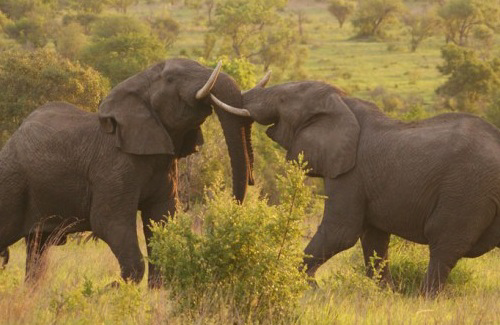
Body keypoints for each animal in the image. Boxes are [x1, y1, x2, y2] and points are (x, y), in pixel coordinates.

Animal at [0, 58, 254, 286]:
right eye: (171, 79)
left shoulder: (165, 166)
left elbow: (161, 217)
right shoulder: (113, 166)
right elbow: (109, 222)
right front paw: (108, 289)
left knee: (37, 247)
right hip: (13, 180)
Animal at [213, 79, 500, 294]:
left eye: (283, 99)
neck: (343, 101)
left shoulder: (350, 174)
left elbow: (341, 232)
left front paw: (305, 288)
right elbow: (373, 238)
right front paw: (386, 296)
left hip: (466, 191)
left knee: (443, 247)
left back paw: (425, 300)